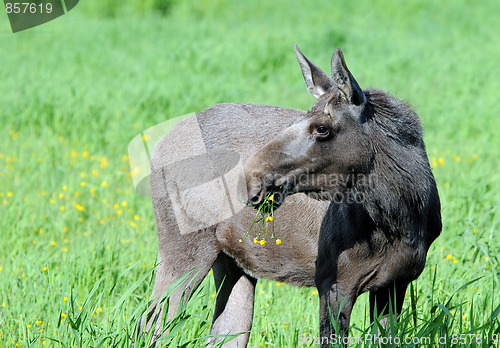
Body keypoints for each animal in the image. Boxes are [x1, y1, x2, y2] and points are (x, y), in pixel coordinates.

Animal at [141, 46, 442, 348]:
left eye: (322, 127)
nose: (249, 179)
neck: (402, 218)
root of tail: (158, 147)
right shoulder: (333, 280)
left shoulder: (395, 283)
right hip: (184, 246)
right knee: (151, 322)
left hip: (233, 261)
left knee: (226, 329)